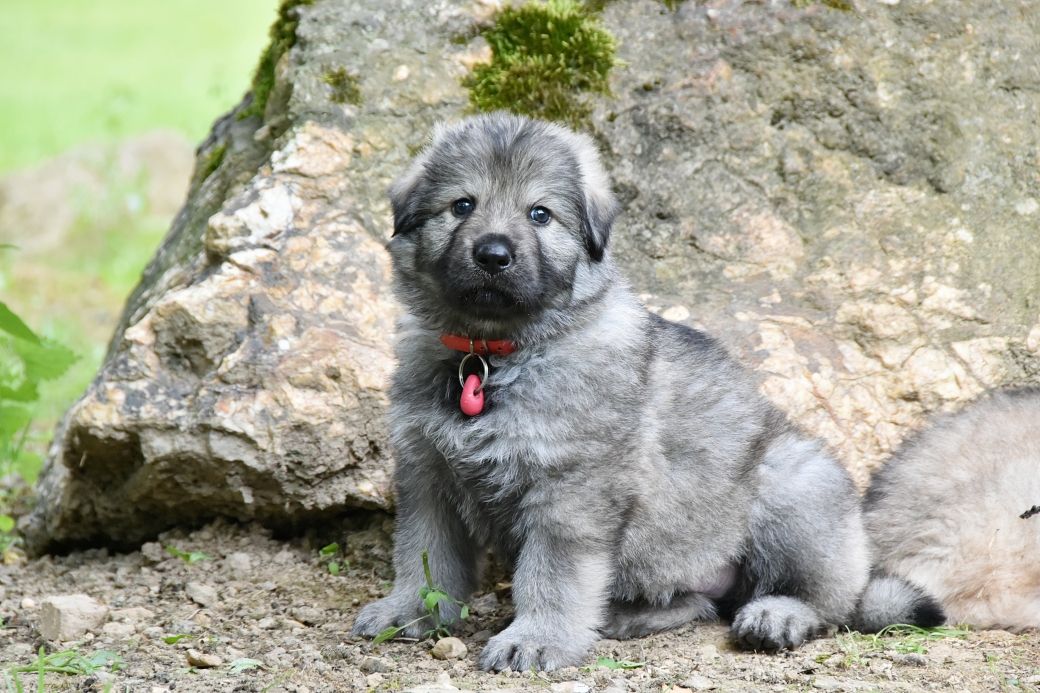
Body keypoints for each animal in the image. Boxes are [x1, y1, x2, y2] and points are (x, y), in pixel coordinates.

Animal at [352, 113, 902, 671]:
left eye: (540, 214)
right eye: (462, 205)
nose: (493, 254)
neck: (493, 353)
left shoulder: (570, 489)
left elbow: (552, 576)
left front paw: (537, 639)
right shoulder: (428, 475)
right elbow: (425, 556)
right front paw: (410, 610)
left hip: (792, 486)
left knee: (827, 600)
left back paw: (778, 615)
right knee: (700, 600)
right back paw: (628, 616)